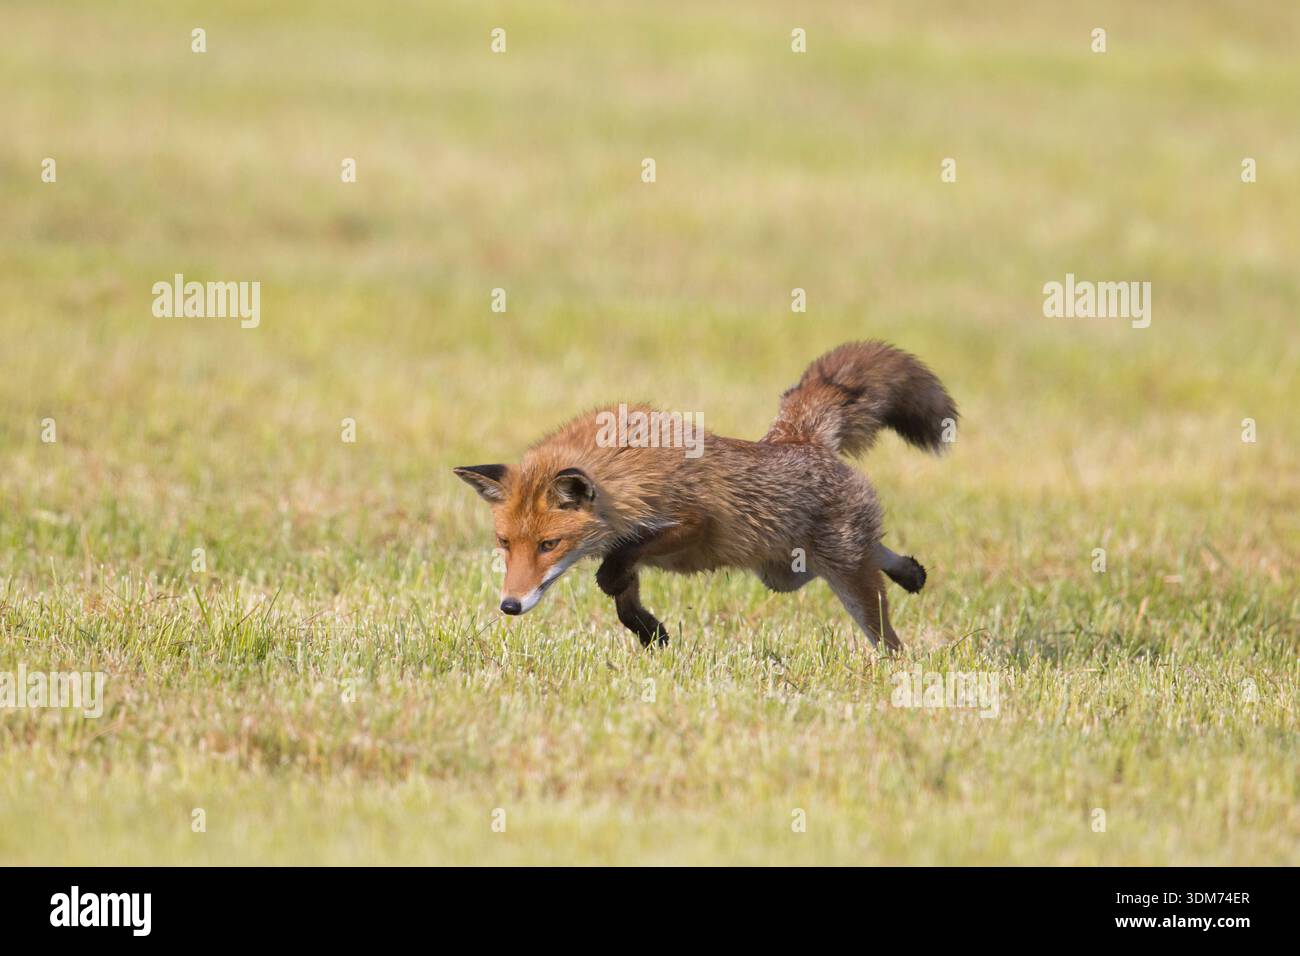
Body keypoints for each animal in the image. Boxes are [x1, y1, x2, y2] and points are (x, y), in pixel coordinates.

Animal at [453, 340, 957, 650]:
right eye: (504, 543)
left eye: (548, 545)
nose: (509, 606)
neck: (623, 472)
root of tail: (798, 438)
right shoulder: (629, 543)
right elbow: (623, 595)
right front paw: (649, 631)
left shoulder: (692, 523)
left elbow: (613, 571)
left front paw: (640, 618)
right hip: (783, 574)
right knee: (872, 551)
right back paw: (911, 572)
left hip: (843, 578)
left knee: (887, 635)